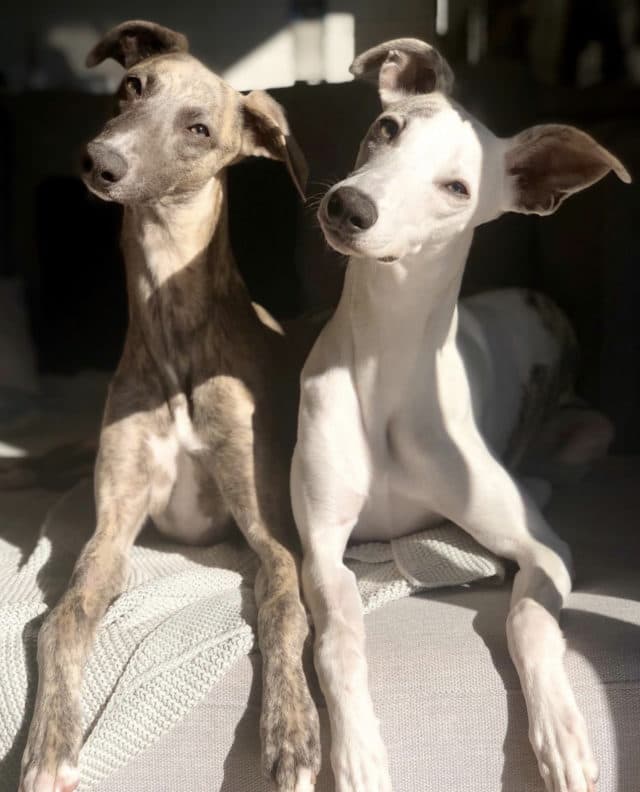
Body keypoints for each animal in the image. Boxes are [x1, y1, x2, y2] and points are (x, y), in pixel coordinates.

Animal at [19, 21, 320, 792]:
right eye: (133, 86)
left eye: (199, 128)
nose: (100, 161)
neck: (174, 331)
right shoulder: (110, 529)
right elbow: (61, 619)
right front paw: (49, 746)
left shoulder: (271, 537)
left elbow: (284, 611)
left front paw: (293, 731)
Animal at [292, 40, 632, 792]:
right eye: (387, 129)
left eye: (456, 189)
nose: (349, 206)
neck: (385, 364)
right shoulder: (323, 545)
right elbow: (337, 637)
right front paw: (357, 751)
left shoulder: (546, 551)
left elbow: (529, 622)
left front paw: (562, 735)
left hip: (591, 432)